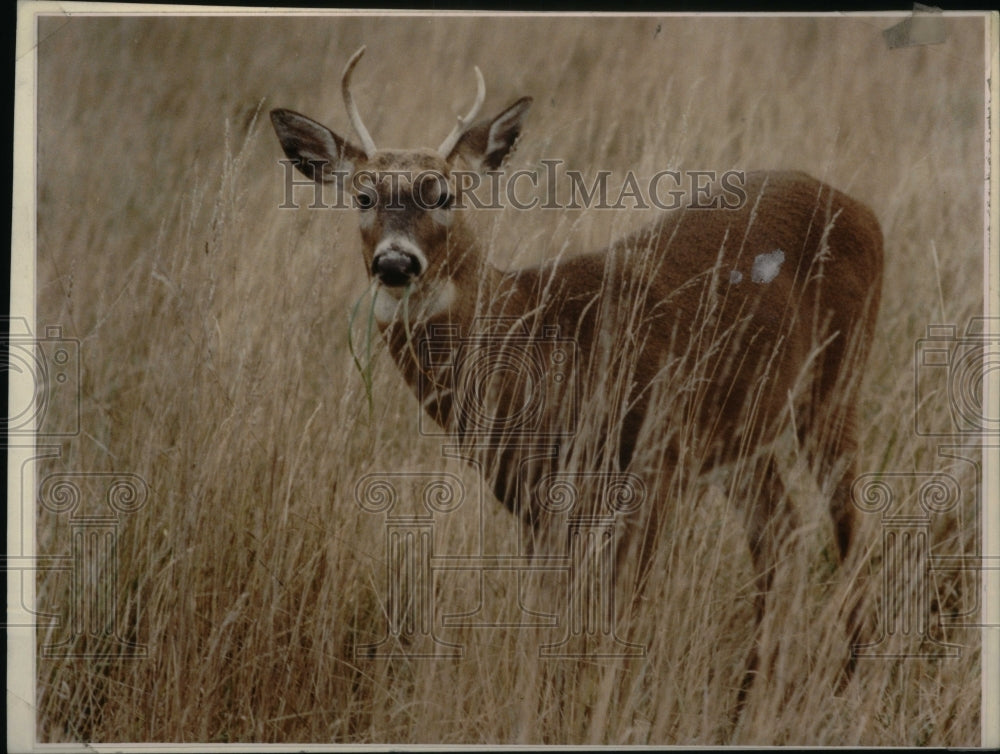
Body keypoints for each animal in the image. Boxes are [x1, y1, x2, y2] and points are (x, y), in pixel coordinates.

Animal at [272, 47, 884, 704]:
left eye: (445, 194)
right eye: (361, 196)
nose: (394, 262)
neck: (532, 339)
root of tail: (865, 212)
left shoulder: (648, 464)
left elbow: (616, 616)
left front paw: (606, 700)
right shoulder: (534, 498)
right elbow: (553, 614)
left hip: (838, 379)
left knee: (849, 526)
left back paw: (848, 680)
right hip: (741, 434)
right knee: (782, 531)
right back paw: (750, 692)